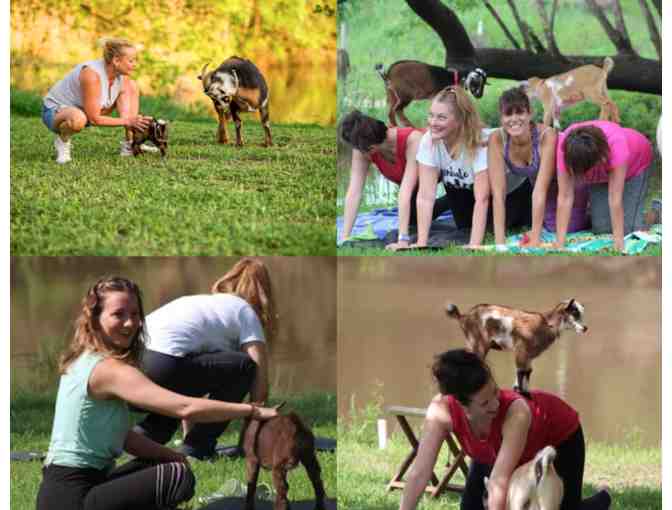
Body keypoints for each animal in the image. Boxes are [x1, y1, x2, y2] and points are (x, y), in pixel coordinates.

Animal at [446, 298, 588, 394]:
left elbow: (528, 371)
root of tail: (464, 316)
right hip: (477, 342)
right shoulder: (521, 350)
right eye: (575, 313)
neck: (546, 324)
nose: (585, 328)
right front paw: (521, 393)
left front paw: (524, 391)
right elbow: (521, 371)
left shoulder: (528, 355)